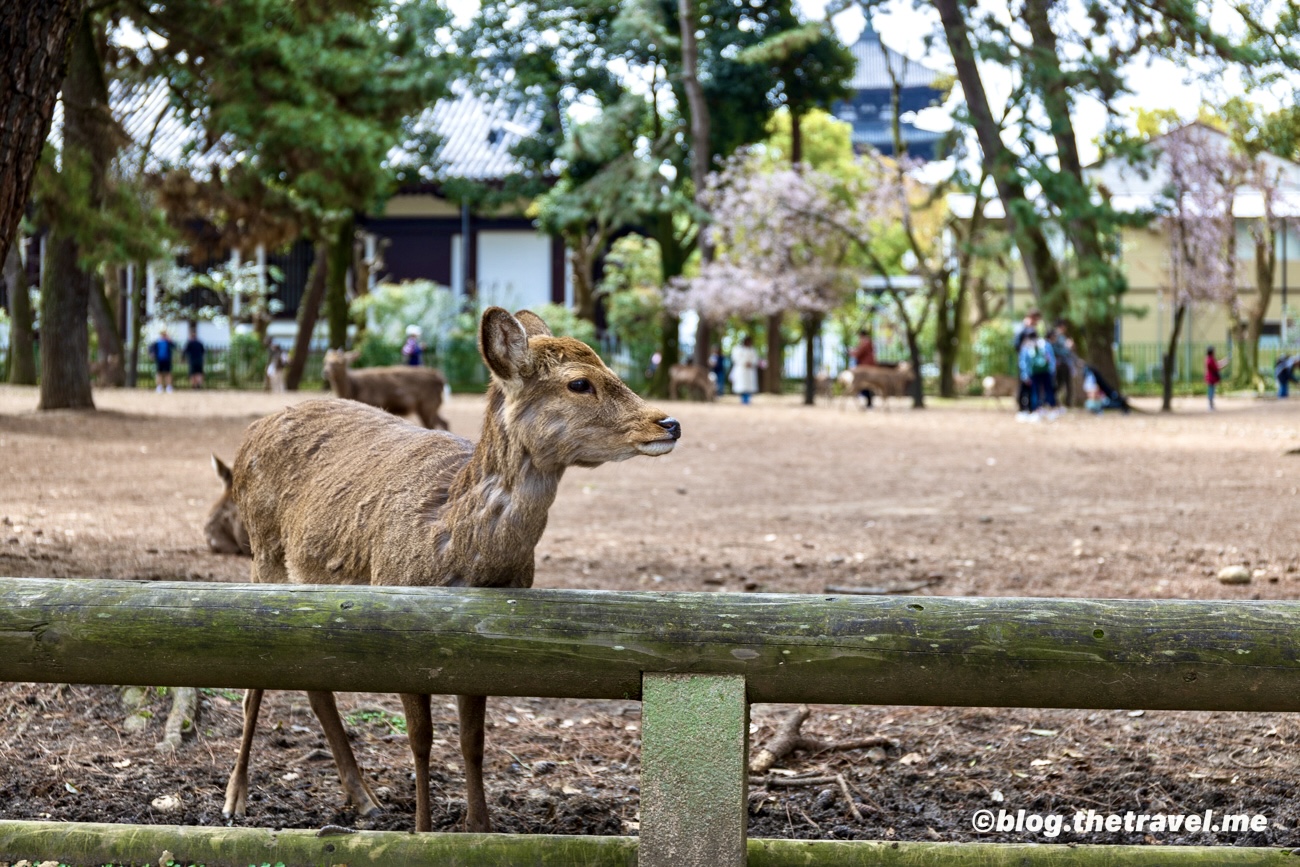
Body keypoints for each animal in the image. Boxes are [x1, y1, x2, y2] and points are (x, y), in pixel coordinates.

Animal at [222, 310, 681, 831]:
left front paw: (480, 827)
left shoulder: (482, 644)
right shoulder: (394, 618)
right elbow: (420, 739)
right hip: (265, 558)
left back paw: (365, 798)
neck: (453, 552)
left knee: (315, 687)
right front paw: (424, 828)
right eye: (580, 382)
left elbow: (473, 740)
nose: (669, 422)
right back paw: (235, 797)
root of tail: (251, 433)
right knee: (254, 683)